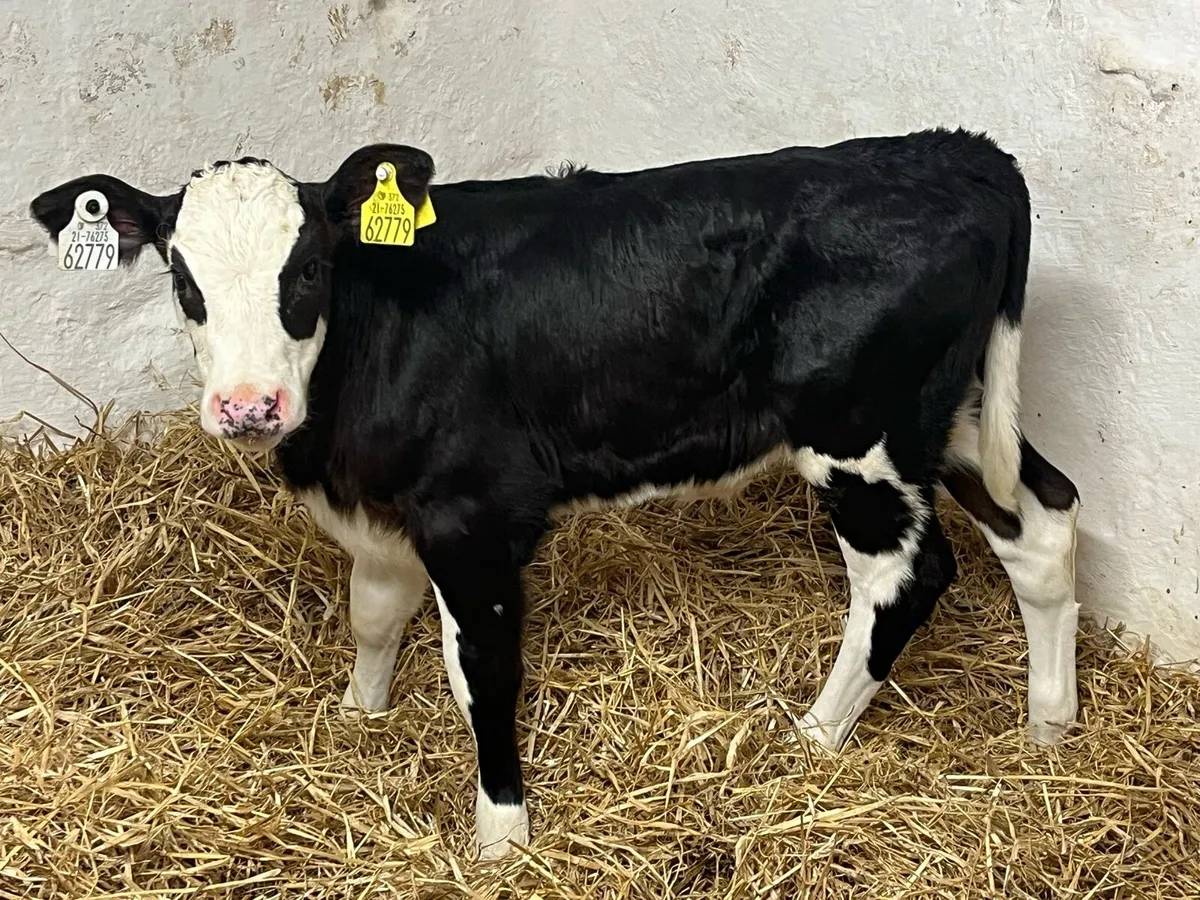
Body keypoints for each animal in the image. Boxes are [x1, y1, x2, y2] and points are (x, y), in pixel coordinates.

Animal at [29, 128, 1081, 860]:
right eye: (182, 279)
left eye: (311, 269)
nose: (248, 406)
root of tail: (960, 151)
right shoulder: (390, 506)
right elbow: (374, 615)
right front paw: (360, 721)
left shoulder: (474, 513)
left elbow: (483, 673)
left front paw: (502, 834)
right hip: (955, 415)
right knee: (1046, 523)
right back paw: (1047, 728)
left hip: (860, 435)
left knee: (907, 575)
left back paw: (812, 738)